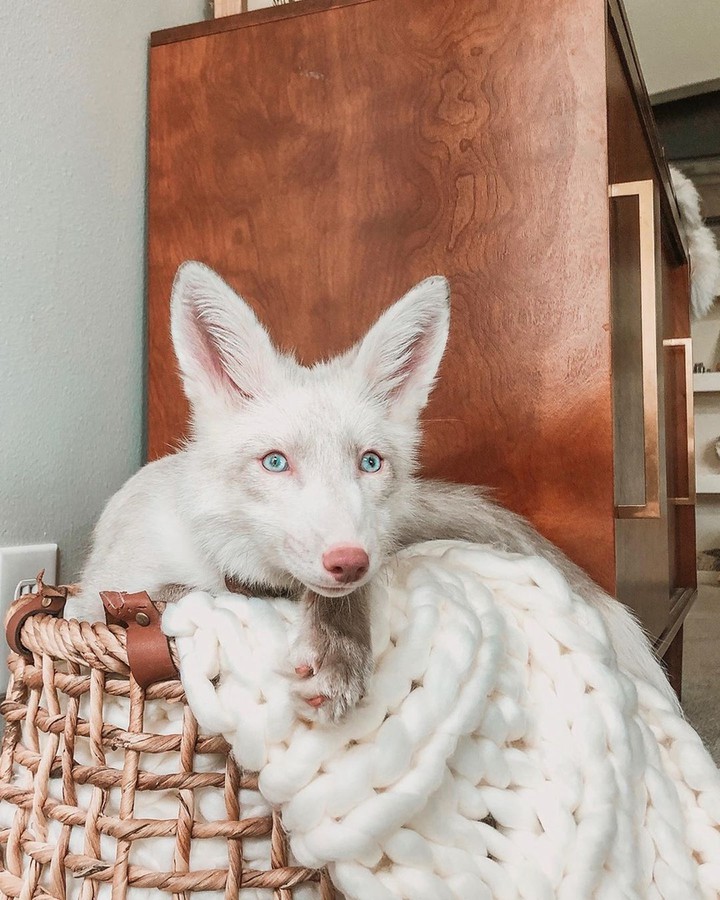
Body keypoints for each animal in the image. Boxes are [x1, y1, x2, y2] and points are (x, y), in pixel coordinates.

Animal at [67, 261, 674, 720]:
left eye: (370, 463)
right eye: (275, 462)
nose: (348, 561)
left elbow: (336, 602)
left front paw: (338, 647)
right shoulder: (91, 605)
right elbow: (178, 594)